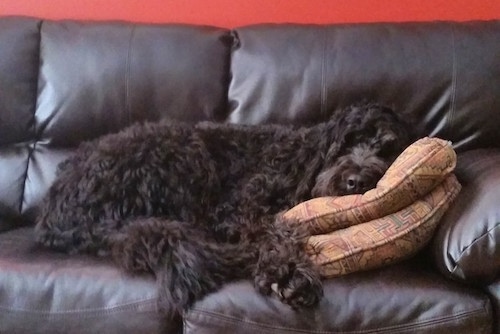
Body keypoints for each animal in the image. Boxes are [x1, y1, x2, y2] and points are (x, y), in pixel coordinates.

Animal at [35, 103, 416, 318]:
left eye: (387, 149)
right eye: (346, 144)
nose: (356, 180)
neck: (301, 160)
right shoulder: (239, 208)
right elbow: (275, 228)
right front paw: (289, 272)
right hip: (181, 153)